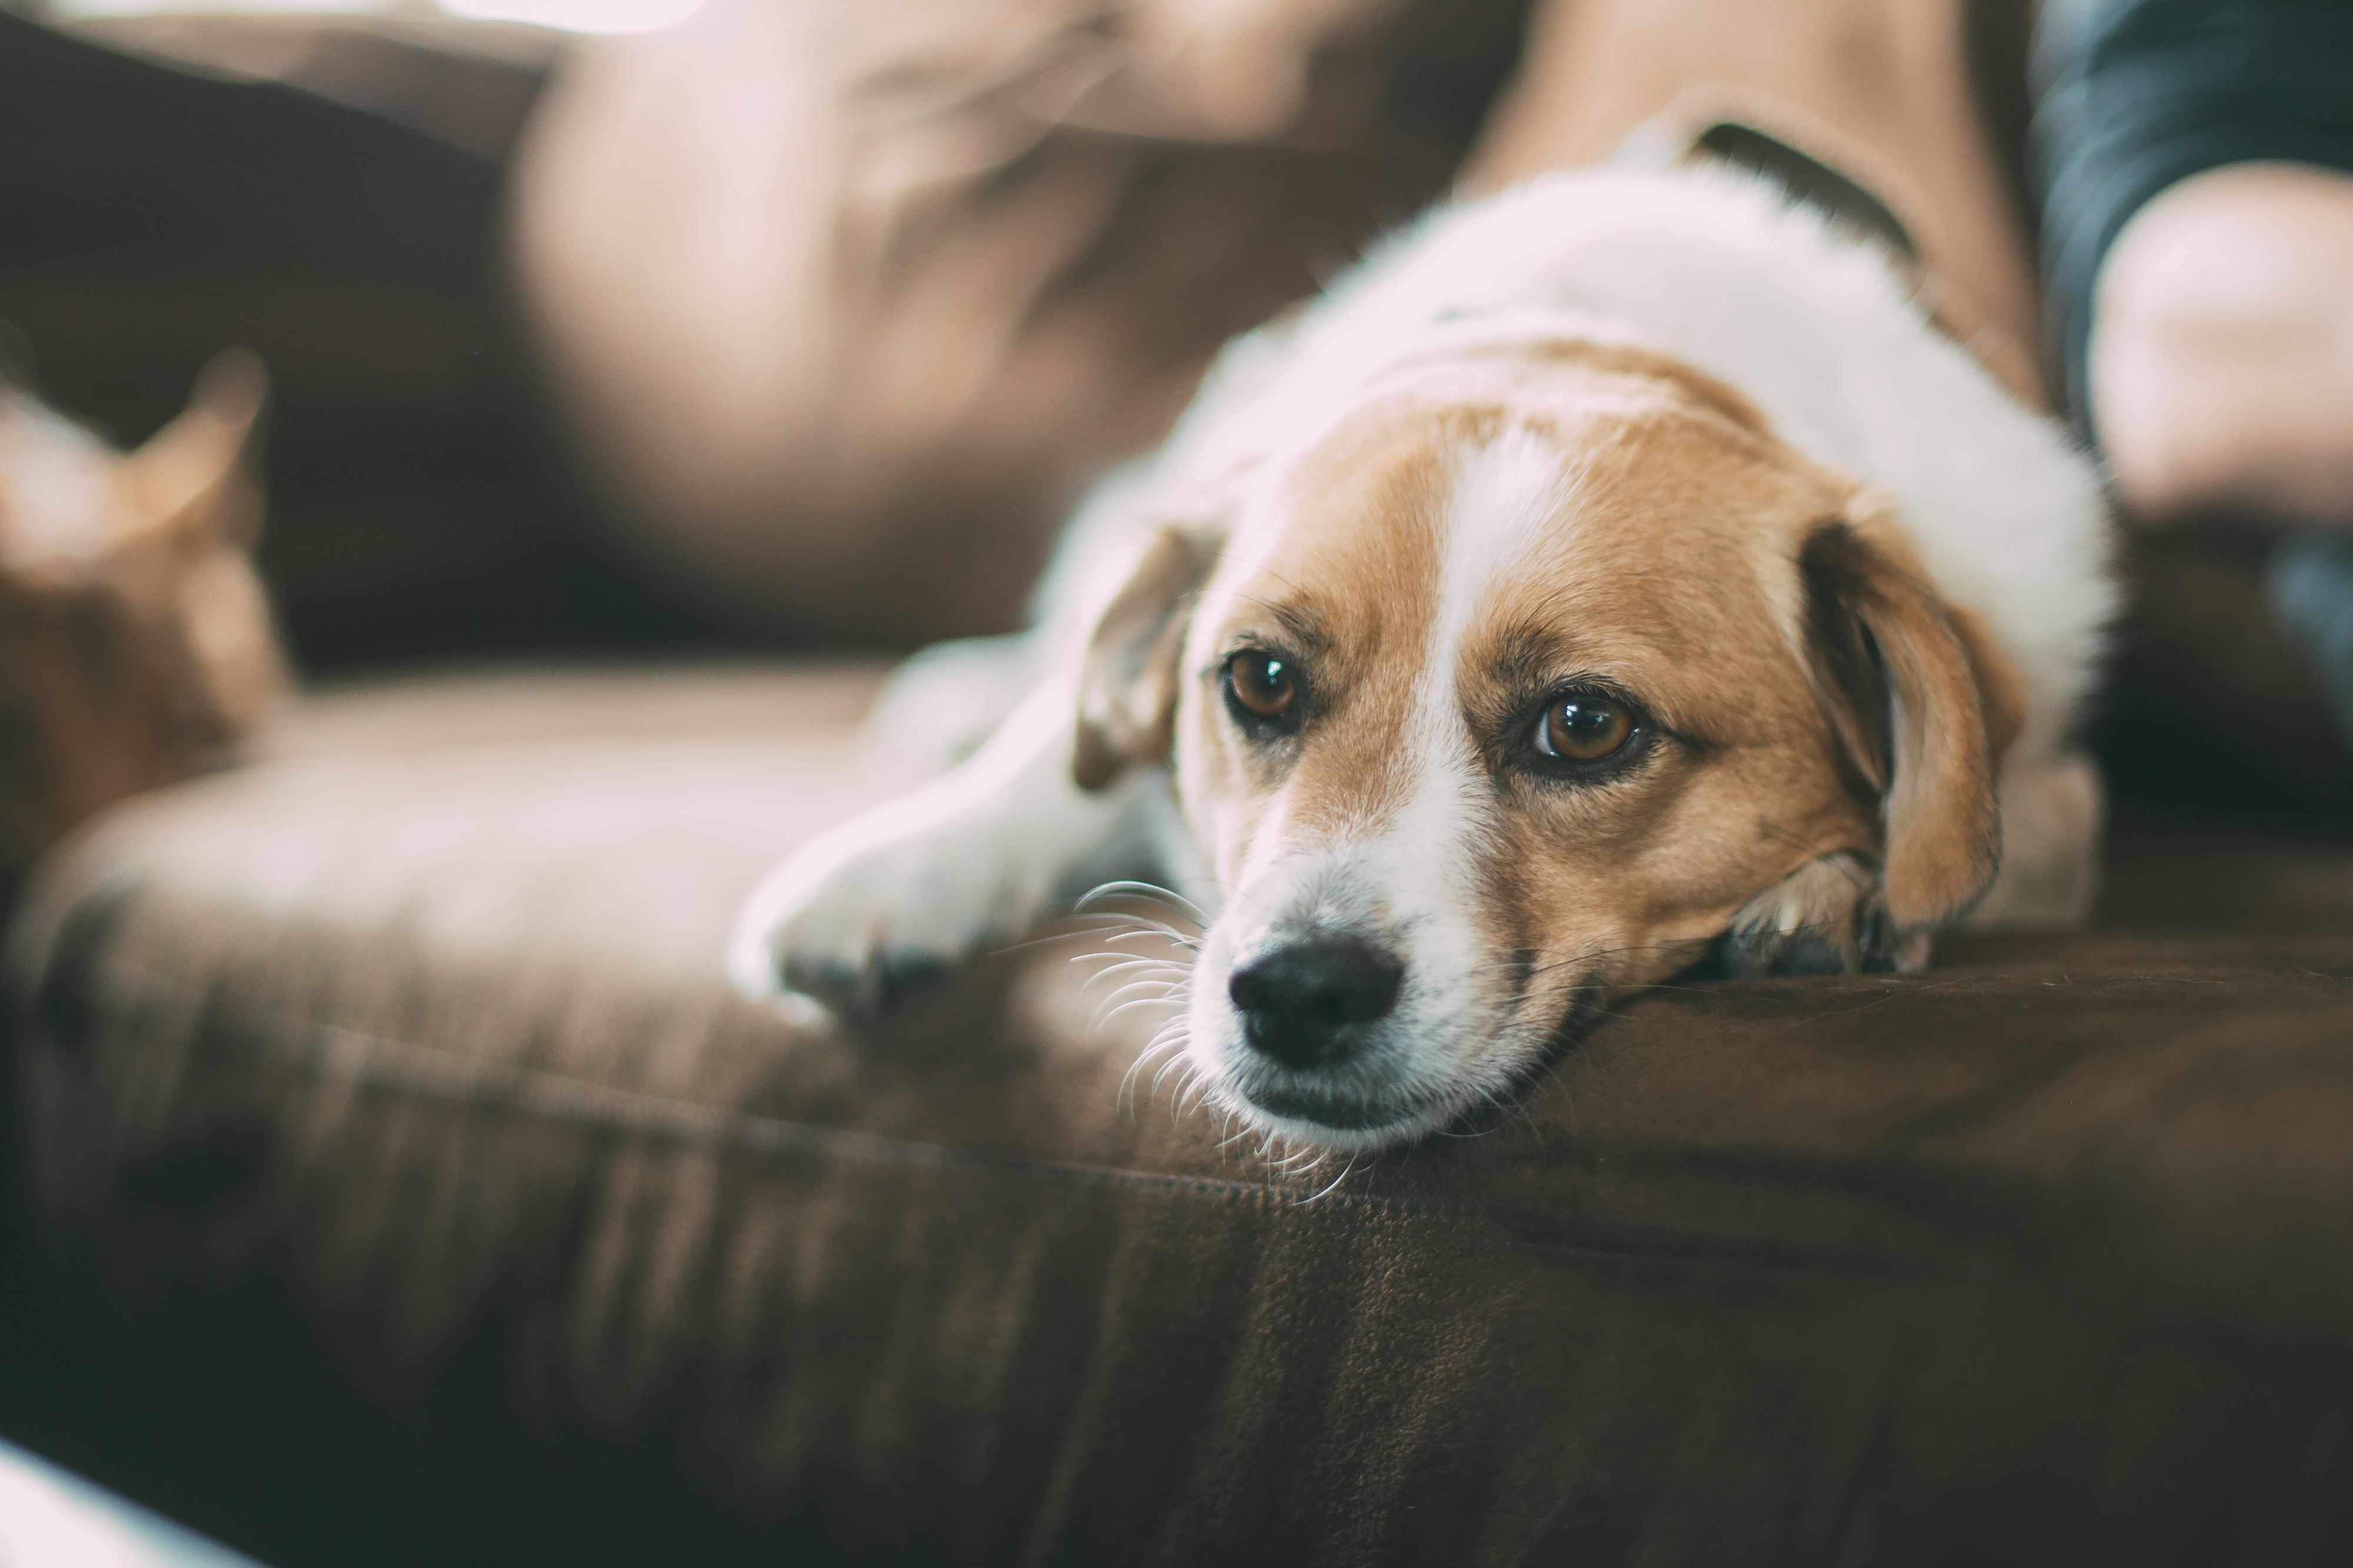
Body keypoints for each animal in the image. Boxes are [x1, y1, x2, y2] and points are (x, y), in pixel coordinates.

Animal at [720, 165, 2118, 1149]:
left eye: (1585, 725)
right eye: (1259, 680)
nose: (1293, 992)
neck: (1592, 338)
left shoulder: (2052, 785)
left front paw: (1839, 890)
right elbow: (1053, 763)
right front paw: (901, 866)